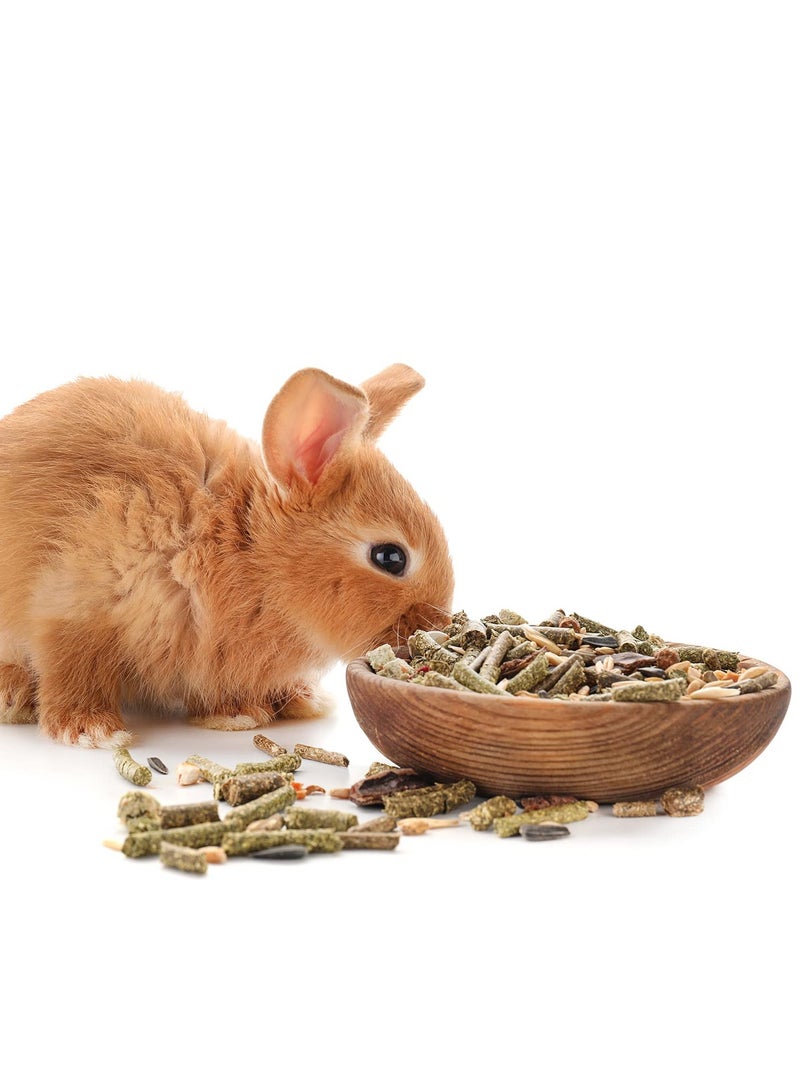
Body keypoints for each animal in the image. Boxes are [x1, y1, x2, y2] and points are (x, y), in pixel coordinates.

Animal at [0, 364, 454, 746]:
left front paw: (248, 712)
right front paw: (90, 731)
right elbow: (73, 669)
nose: (436, 627)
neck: (246, 549)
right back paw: (13, 697)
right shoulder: (76, 602)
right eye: (390, 557)